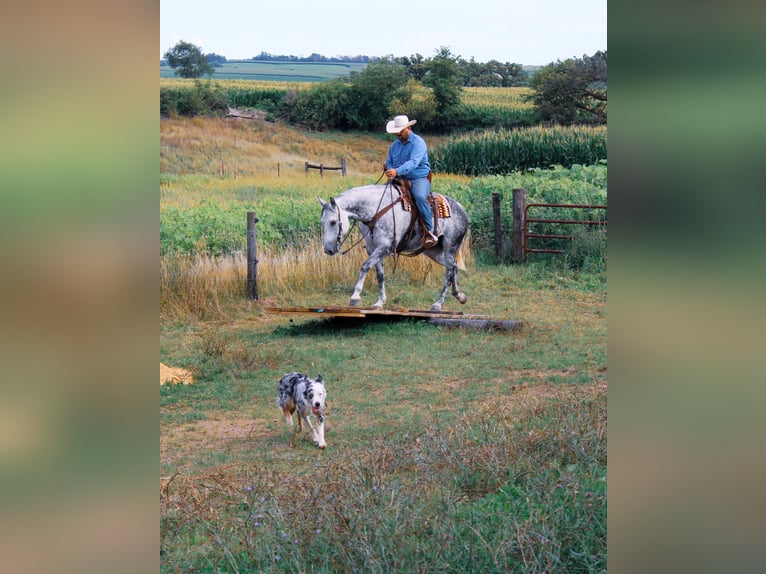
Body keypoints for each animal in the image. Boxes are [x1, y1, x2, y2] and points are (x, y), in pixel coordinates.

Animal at [320, 183, 472, 312]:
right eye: (322, 222)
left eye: (333, 222)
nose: (328, 250)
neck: (375, 209)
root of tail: (461, 208)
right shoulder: (373, 249)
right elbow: (380, 274)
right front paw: (379, 302)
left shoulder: (384, 246)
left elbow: (365, 266)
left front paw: (355, 297)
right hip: (434, 252)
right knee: (453, 267)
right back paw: (460, 296)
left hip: (450, 246)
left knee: (449, 271)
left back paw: (438, 304)